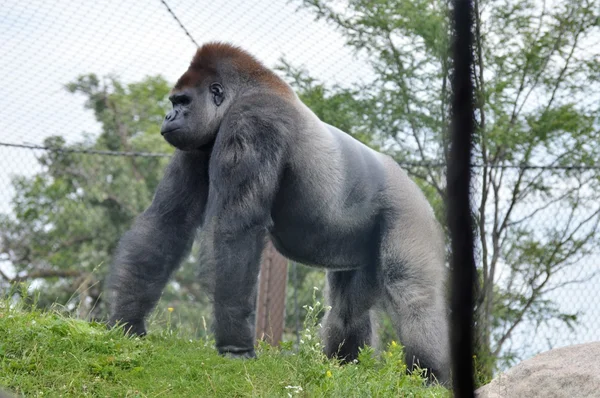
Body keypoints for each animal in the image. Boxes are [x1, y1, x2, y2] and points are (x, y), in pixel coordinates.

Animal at [105, 42, 448, 384]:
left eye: (183, 101)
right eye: (174, 102)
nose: (168, 116)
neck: (244, 91)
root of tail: (411, 183)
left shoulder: (253, 120)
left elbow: (235, 227)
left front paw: (235, 347)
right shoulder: (198, 143)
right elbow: (169, 221)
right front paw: (126, 322)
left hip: (410, 212)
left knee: (412, 294)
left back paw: (431, 375)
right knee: (348, 308)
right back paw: (345, 366)